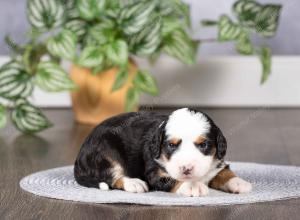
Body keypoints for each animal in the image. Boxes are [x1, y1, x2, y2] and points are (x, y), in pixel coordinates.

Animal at [74, 108, 252, 196]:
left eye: (203, 145)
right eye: (171, 145)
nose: (187, 168)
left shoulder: (217, 162)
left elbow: (224, 172)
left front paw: (239, 182)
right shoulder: (155, 173)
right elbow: (174, 179)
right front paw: (192, 186)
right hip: (106, 150)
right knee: (112, 176)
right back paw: (134, 183)